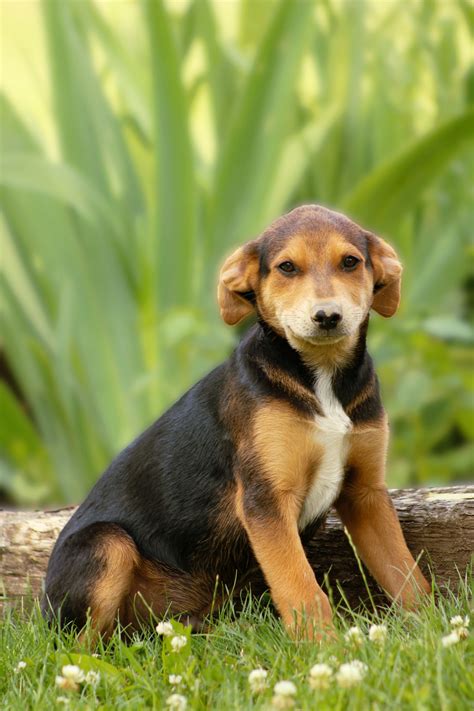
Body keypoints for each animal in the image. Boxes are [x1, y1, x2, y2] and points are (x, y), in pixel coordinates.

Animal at [43, 203, 430, 636]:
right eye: (287, 268)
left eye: (350, 262)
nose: (328, 316)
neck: (321, 377)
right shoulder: (267, 499)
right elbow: (303, 591)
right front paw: (324, 646)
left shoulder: (366, 494)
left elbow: (407, 575)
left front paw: (430, 628)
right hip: (107, 545)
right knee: (81, 641)